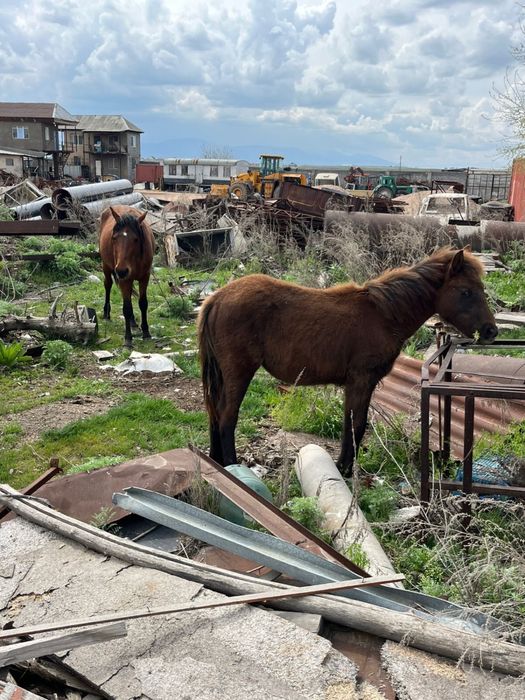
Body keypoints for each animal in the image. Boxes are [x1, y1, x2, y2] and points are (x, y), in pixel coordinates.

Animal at [99, 205, 155, 348]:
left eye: (135, 239)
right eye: (114, 238)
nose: (122, 271)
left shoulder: (145, 277)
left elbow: (143, 303)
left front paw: (146, 332)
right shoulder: (125, 279)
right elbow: (127, 308)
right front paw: (128, 339)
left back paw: (133, 322)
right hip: (106, 265)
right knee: (108, 284)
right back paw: (107, 313)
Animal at [198, 248, 498, 477]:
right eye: (466, 292)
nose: (491, 331)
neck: (383, 314)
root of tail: (217, 298)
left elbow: (350, 423)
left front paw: (343, 466)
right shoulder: (361, 380)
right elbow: (357, 424)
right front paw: (345, 469)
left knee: (214, 413)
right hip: (239, 372)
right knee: (227, 417)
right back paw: (233, 466)